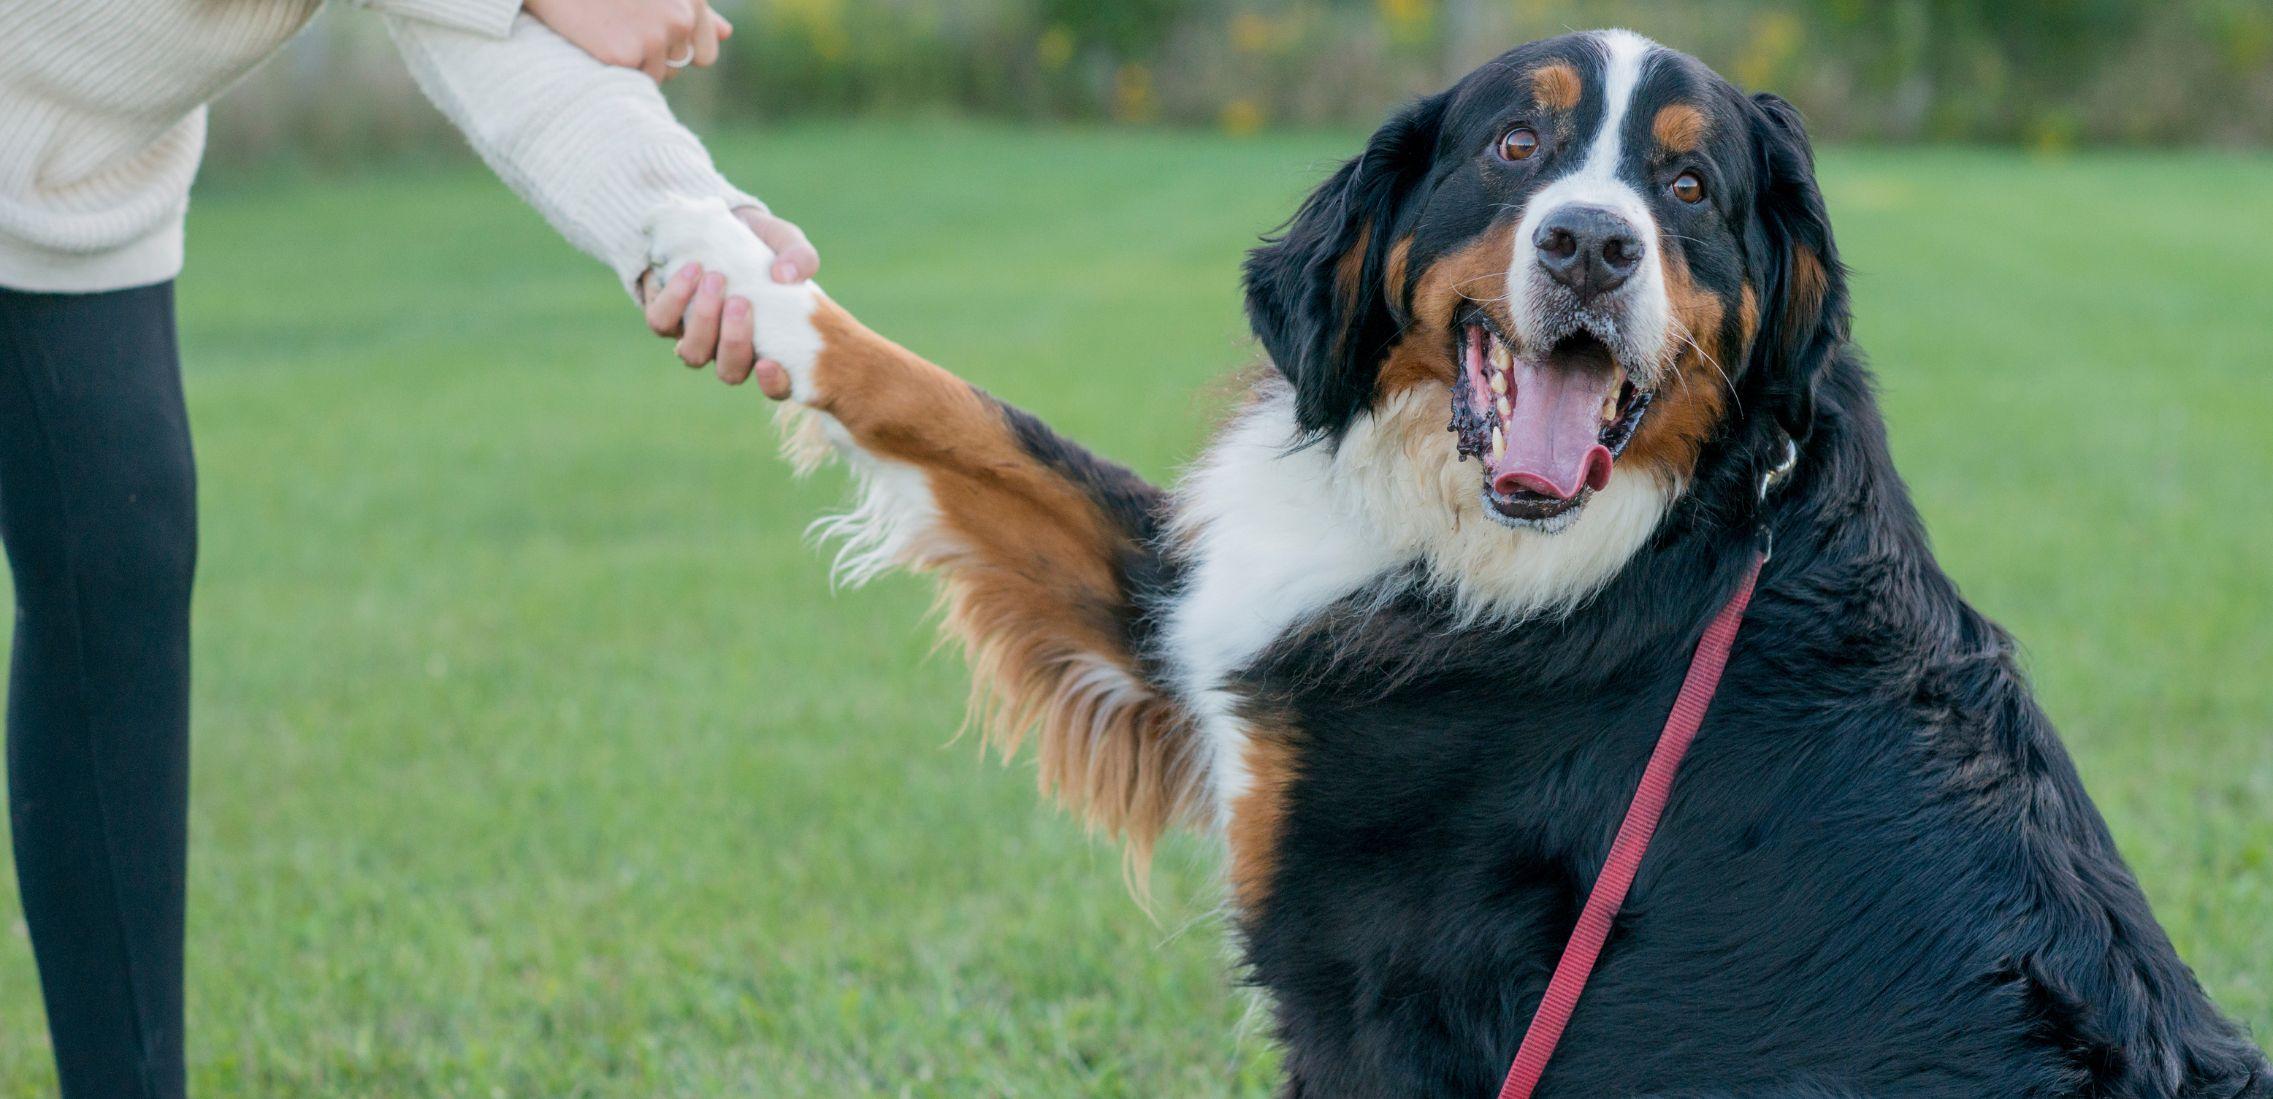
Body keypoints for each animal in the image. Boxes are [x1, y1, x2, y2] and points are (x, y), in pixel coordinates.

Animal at [650, 25, 2263, 1099]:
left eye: (1688, 186)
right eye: (1513, 147)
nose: (1592, 246)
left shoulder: (1371, 987)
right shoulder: (1213, 609)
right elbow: (957, 412)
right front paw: (715, 255)